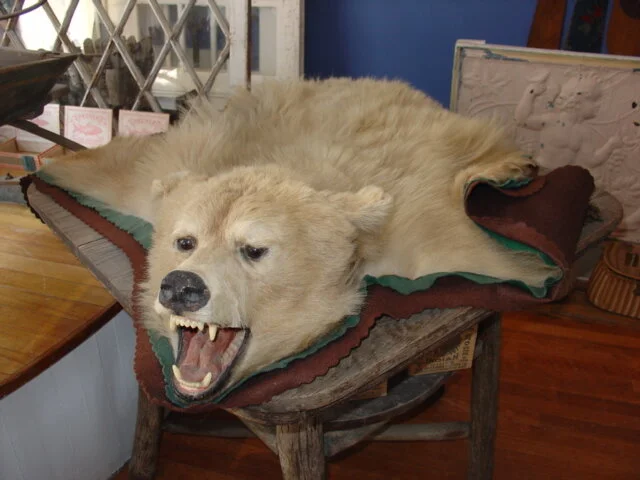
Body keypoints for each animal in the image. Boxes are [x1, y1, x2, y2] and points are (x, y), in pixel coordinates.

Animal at [41, 78, 558, 400]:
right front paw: (48, 168)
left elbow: (480, 251)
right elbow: (113, 170)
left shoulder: (419, 225)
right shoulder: (168, 168)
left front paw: (538, 267)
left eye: (254, 250)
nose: (182, 287)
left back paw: (513, 163)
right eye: (185, 241)